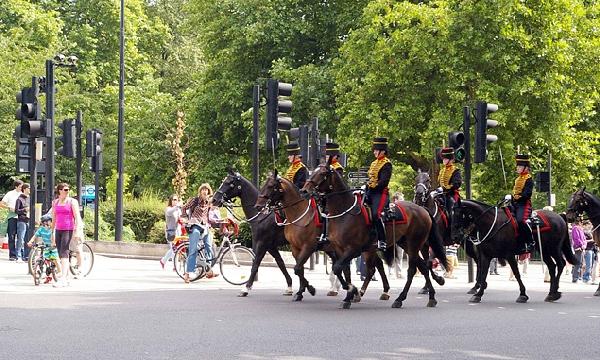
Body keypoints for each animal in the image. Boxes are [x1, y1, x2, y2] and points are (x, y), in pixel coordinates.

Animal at [304, 163, 446, 310]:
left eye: (322, 173)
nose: (304, 190)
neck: (345, 211)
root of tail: (423, 209)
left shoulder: (353, 250)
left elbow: (337, 268)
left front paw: (352, 290)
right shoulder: (340, 250)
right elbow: (343, 271)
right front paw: (348, 296)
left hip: (414, 244)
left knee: (412, 269)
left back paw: (400, 298)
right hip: (405, 244)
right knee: (423, 267)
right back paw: (431, 296)